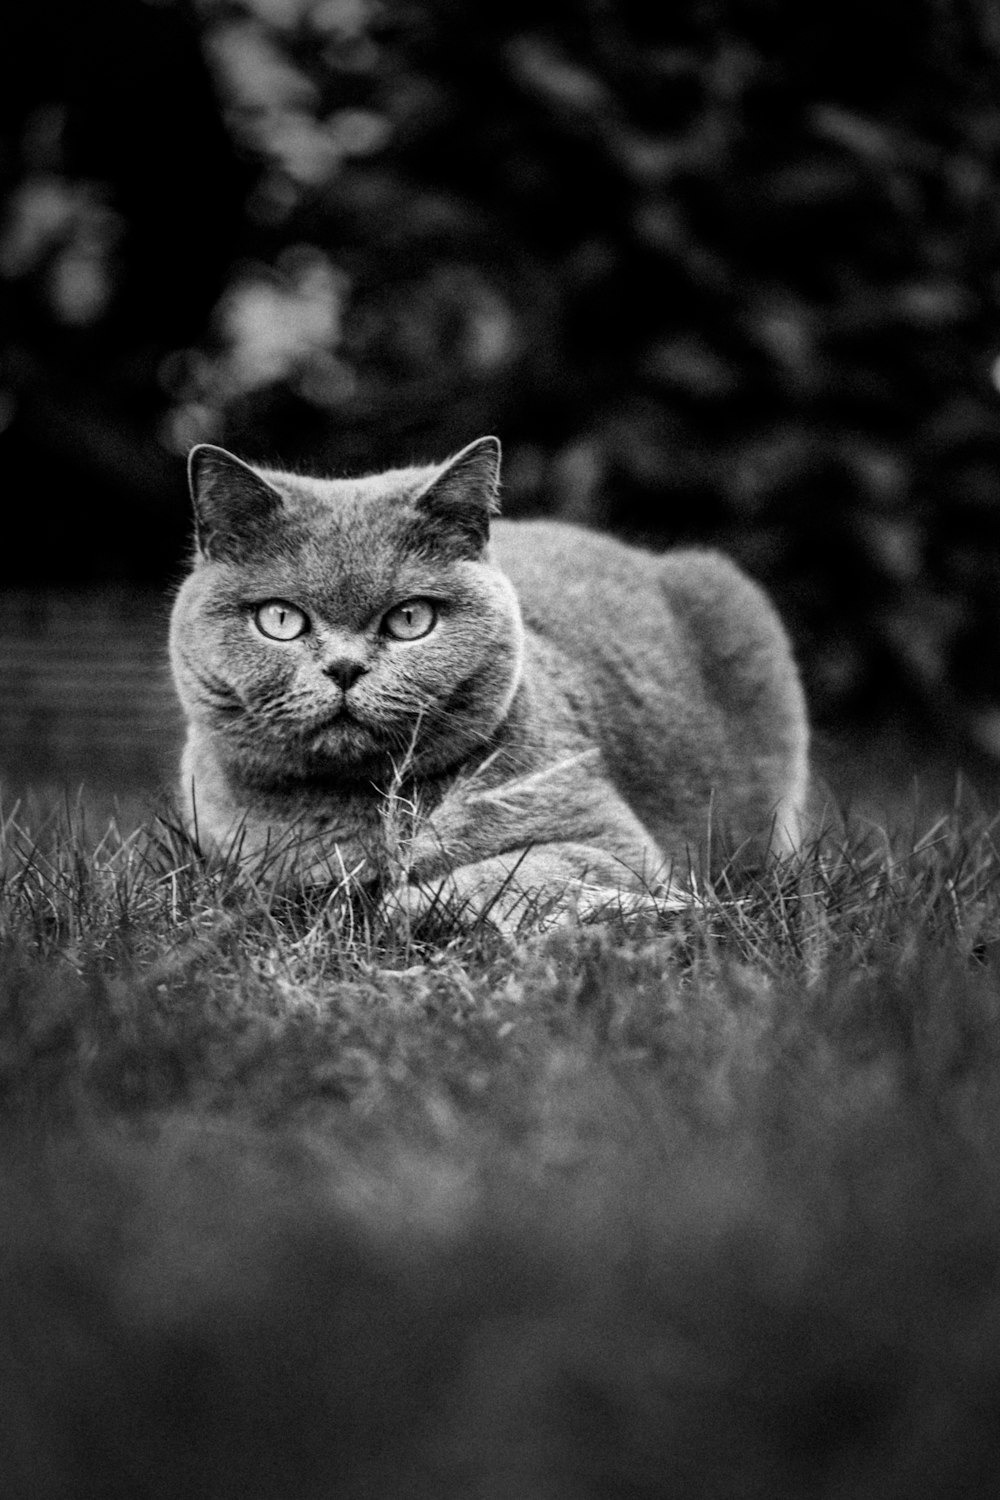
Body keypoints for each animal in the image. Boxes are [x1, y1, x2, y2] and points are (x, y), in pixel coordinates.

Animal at [172, 435, 809, 924]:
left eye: (409, 619)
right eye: (280, 619)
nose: (345, 668)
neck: (358, 816)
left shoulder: (615, 844)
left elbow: (513, 868)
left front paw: (399, 905)